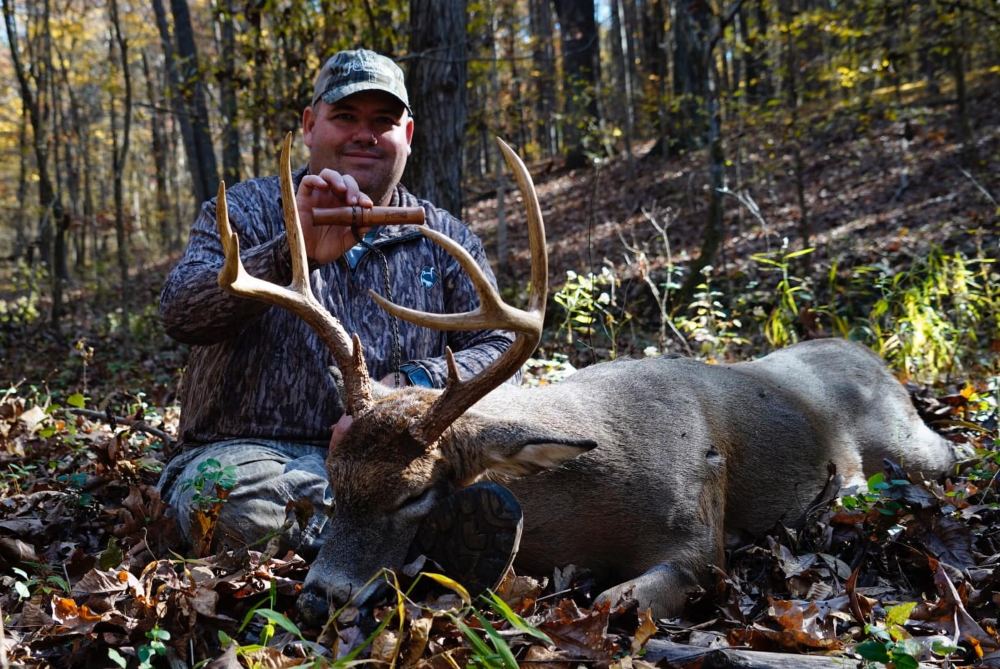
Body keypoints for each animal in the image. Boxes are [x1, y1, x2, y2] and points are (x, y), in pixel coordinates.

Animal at [214, 135, 960, 623]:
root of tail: (871, 357)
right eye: (336, 484)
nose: (318, 597)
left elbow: (617, 600)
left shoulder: (701, 536)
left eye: (414, 494)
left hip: (911, 445)